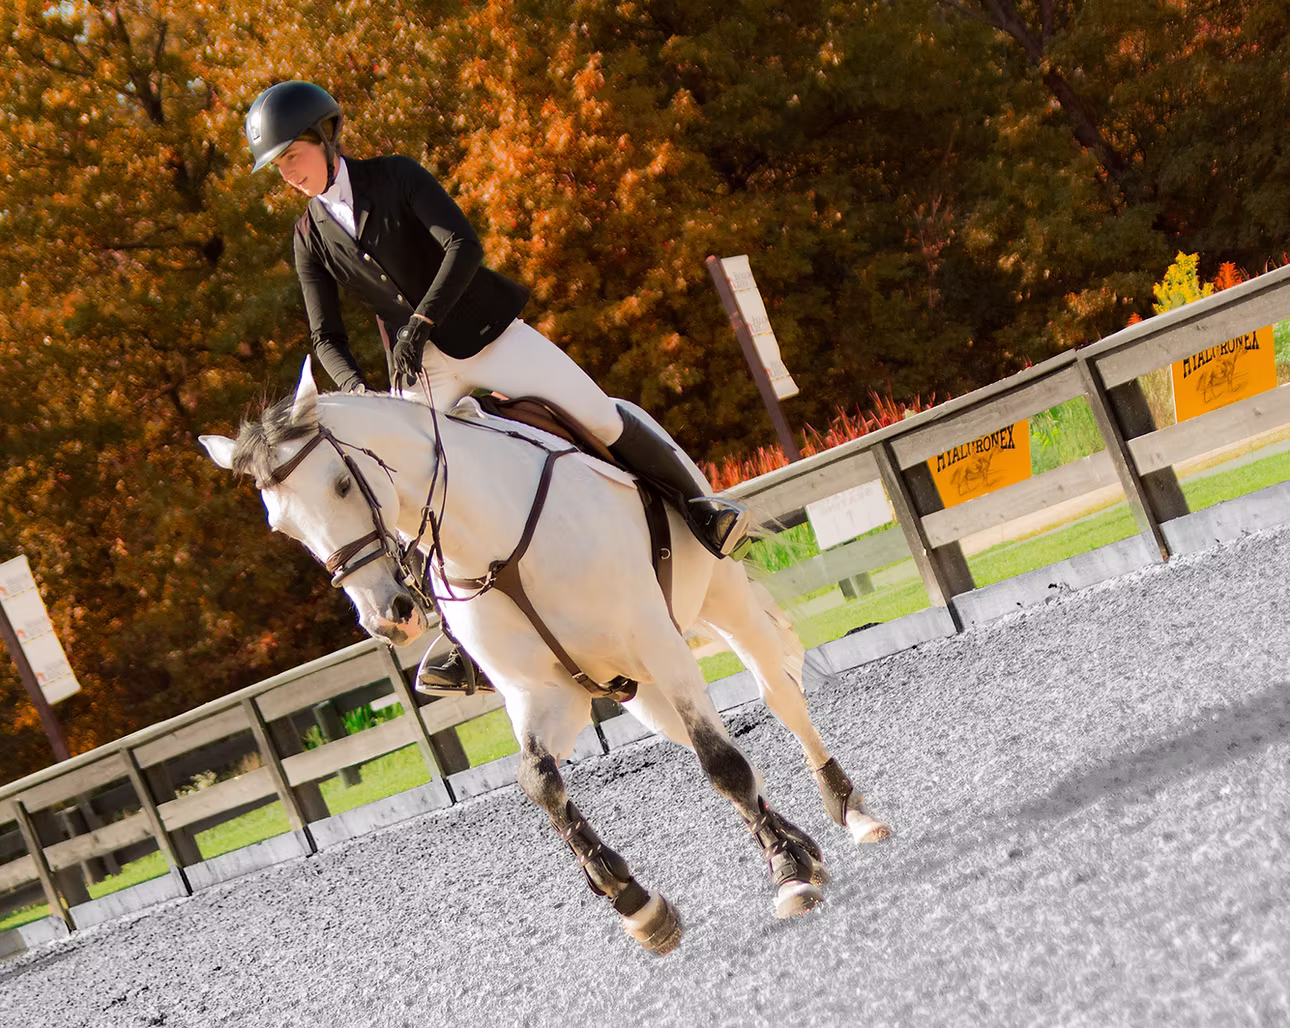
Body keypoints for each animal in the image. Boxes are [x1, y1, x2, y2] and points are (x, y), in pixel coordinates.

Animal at [200, 358, 890, 954]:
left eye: (342, 484)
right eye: (283, 527)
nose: (385, 617)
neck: (488, 541)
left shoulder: (655, 641)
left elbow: (722, 764)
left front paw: (787, 872)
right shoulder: (544, 692)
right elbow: (540, 781)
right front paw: (635, 901)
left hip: (716, 601)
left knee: (778, 693)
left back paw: (850, 815)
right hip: (639, 688)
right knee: (687, 731)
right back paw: (800, 839)